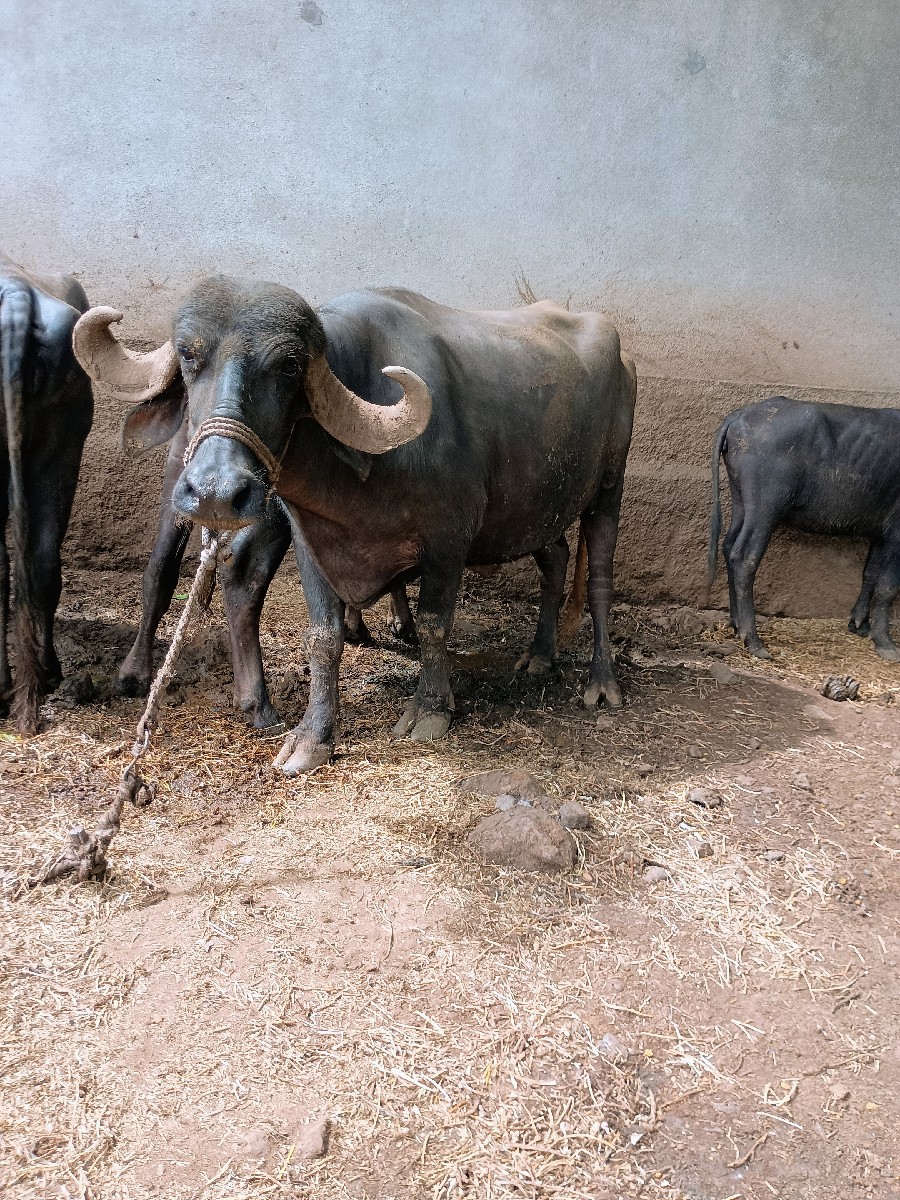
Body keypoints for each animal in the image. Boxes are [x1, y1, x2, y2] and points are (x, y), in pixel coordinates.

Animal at [73, 281, 635, 773]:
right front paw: (312, 738)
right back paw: (540, 656)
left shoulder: (448, 540)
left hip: (608, 487)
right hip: (537, 507)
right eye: (189, 357)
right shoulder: (311, 540)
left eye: (288, 367)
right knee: (556, 557)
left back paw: (601, 682)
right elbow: (322, 636)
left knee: (599, 580)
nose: (215, 490)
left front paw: (430, 710)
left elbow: (435, 622)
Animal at [708, 396, 900, 661]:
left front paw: (860, 625)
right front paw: (886, 645)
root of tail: (740, 416)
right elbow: (887, 586)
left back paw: (737, 625)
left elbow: (870, 573)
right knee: (744, 556)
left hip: (741, 501)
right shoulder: (896, 532)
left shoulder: (879, 532)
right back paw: (754, 641)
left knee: (728, 546)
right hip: (766, 507)